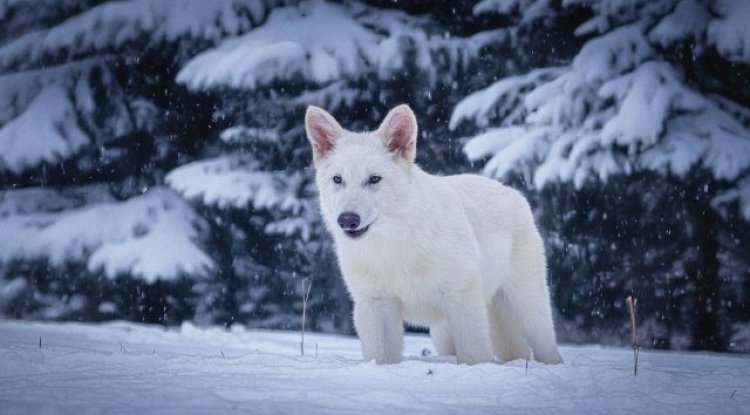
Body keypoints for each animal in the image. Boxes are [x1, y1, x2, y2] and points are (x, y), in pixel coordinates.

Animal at [304, 104, 563, 365]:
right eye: (338, 179)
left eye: (374, 179)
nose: (347, 220)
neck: (394, 247)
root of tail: (512, 191)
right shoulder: (376, 305)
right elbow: (382, 358)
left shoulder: (462, 296)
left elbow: (473, 355)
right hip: (447, 332)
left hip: (527, 306)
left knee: (547, 347)